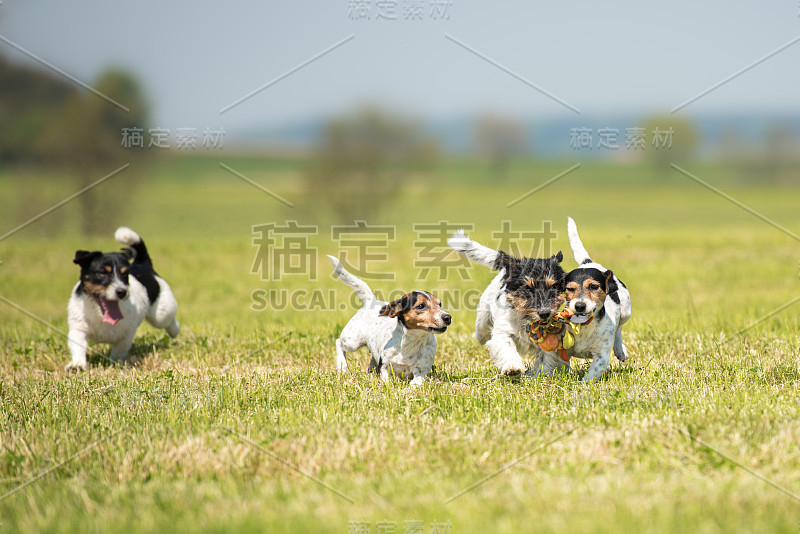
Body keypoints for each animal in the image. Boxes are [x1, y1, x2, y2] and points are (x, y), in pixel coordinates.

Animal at [66, 227, 180, 372]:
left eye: (125, 274)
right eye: (102, 272)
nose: (121, 291)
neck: (100, 316)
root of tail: (142, 264)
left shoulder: (126, 335)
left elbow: (118, 352)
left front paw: (114, 364)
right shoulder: (78, 328)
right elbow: (78, 346)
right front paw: (77, 365)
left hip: (161, 314)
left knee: (170, 321)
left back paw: (174, 330)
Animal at [446, 230, 564, 376]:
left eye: (553, 286)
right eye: (527, 288)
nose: (544, 313)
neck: (526, 318)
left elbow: (545, 358)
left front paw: (541, 375)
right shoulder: (504, 333)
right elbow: (507, 349)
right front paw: (512, 368)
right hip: (483, 317)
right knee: (481, 331)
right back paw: (481, 337)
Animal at [528, 218, 636, 382]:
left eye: (593, 286)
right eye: (570, 289)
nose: (579, 305)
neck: (583, 327)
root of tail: (588, 262)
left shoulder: (601, 356)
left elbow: (591, 374)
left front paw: (582, 385)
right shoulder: (560, 351)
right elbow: (554, 363)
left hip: (625, 312)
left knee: (619, 329)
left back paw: (620, 350)